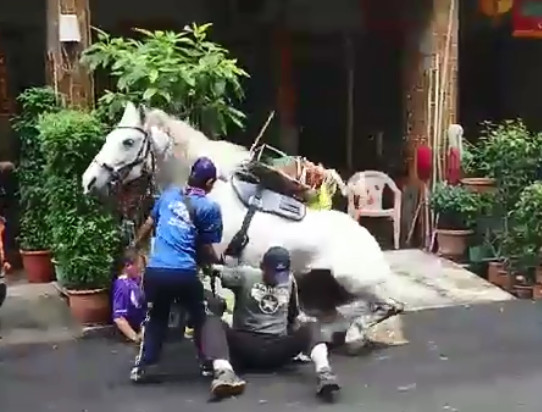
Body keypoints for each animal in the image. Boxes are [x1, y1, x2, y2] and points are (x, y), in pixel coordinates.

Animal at [82, 102, 404, 350]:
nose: (89, 181)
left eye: (128, 141)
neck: (205, 196)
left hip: (353, 280)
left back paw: (352, 336)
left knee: (388, 306)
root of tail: (371, 243)